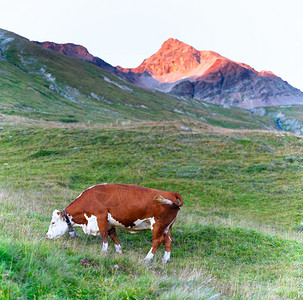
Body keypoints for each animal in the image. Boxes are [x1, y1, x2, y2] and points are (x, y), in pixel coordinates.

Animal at [45, 183, 183, 262]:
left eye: (53, 223)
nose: (46, 236)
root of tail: (170, 193)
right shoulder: (109, 222)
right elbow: (113, 235)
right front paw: (118, 251)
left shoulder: (100, 218)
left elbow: (104, 235)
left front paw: (104, 251)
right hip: (167, 227)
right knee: (168, 240)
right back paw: (165, 259)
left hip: (158, 225)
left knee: (157, 241)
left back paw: (147, 258)